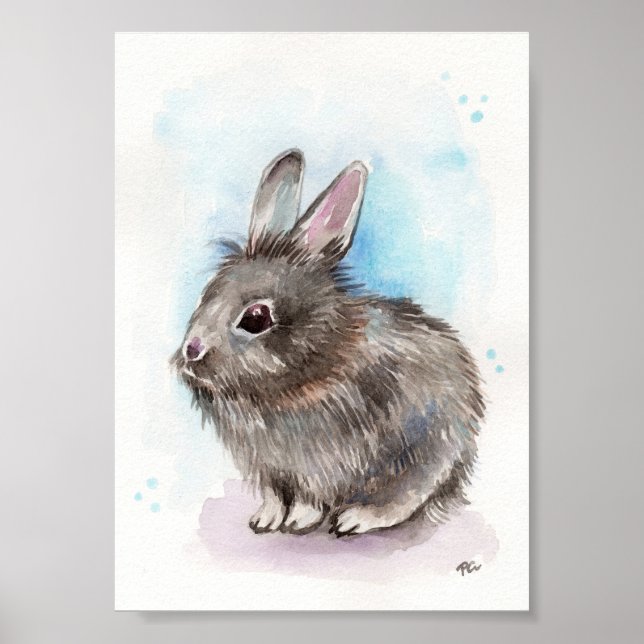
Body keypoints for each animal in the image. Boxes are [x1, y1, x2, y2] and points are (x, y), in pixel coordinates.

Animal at [172, 149, 485, 537]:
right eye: (207, 294)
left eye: (256, 318)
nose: (192, 350)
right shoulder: (268, 468)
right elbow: (274, 494)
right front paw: (265, 518)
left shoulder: (323, 463)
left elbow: (311, 498)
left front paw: (298, 520)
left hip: (427, 450)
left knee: (410, 494)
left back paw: (358, 518)